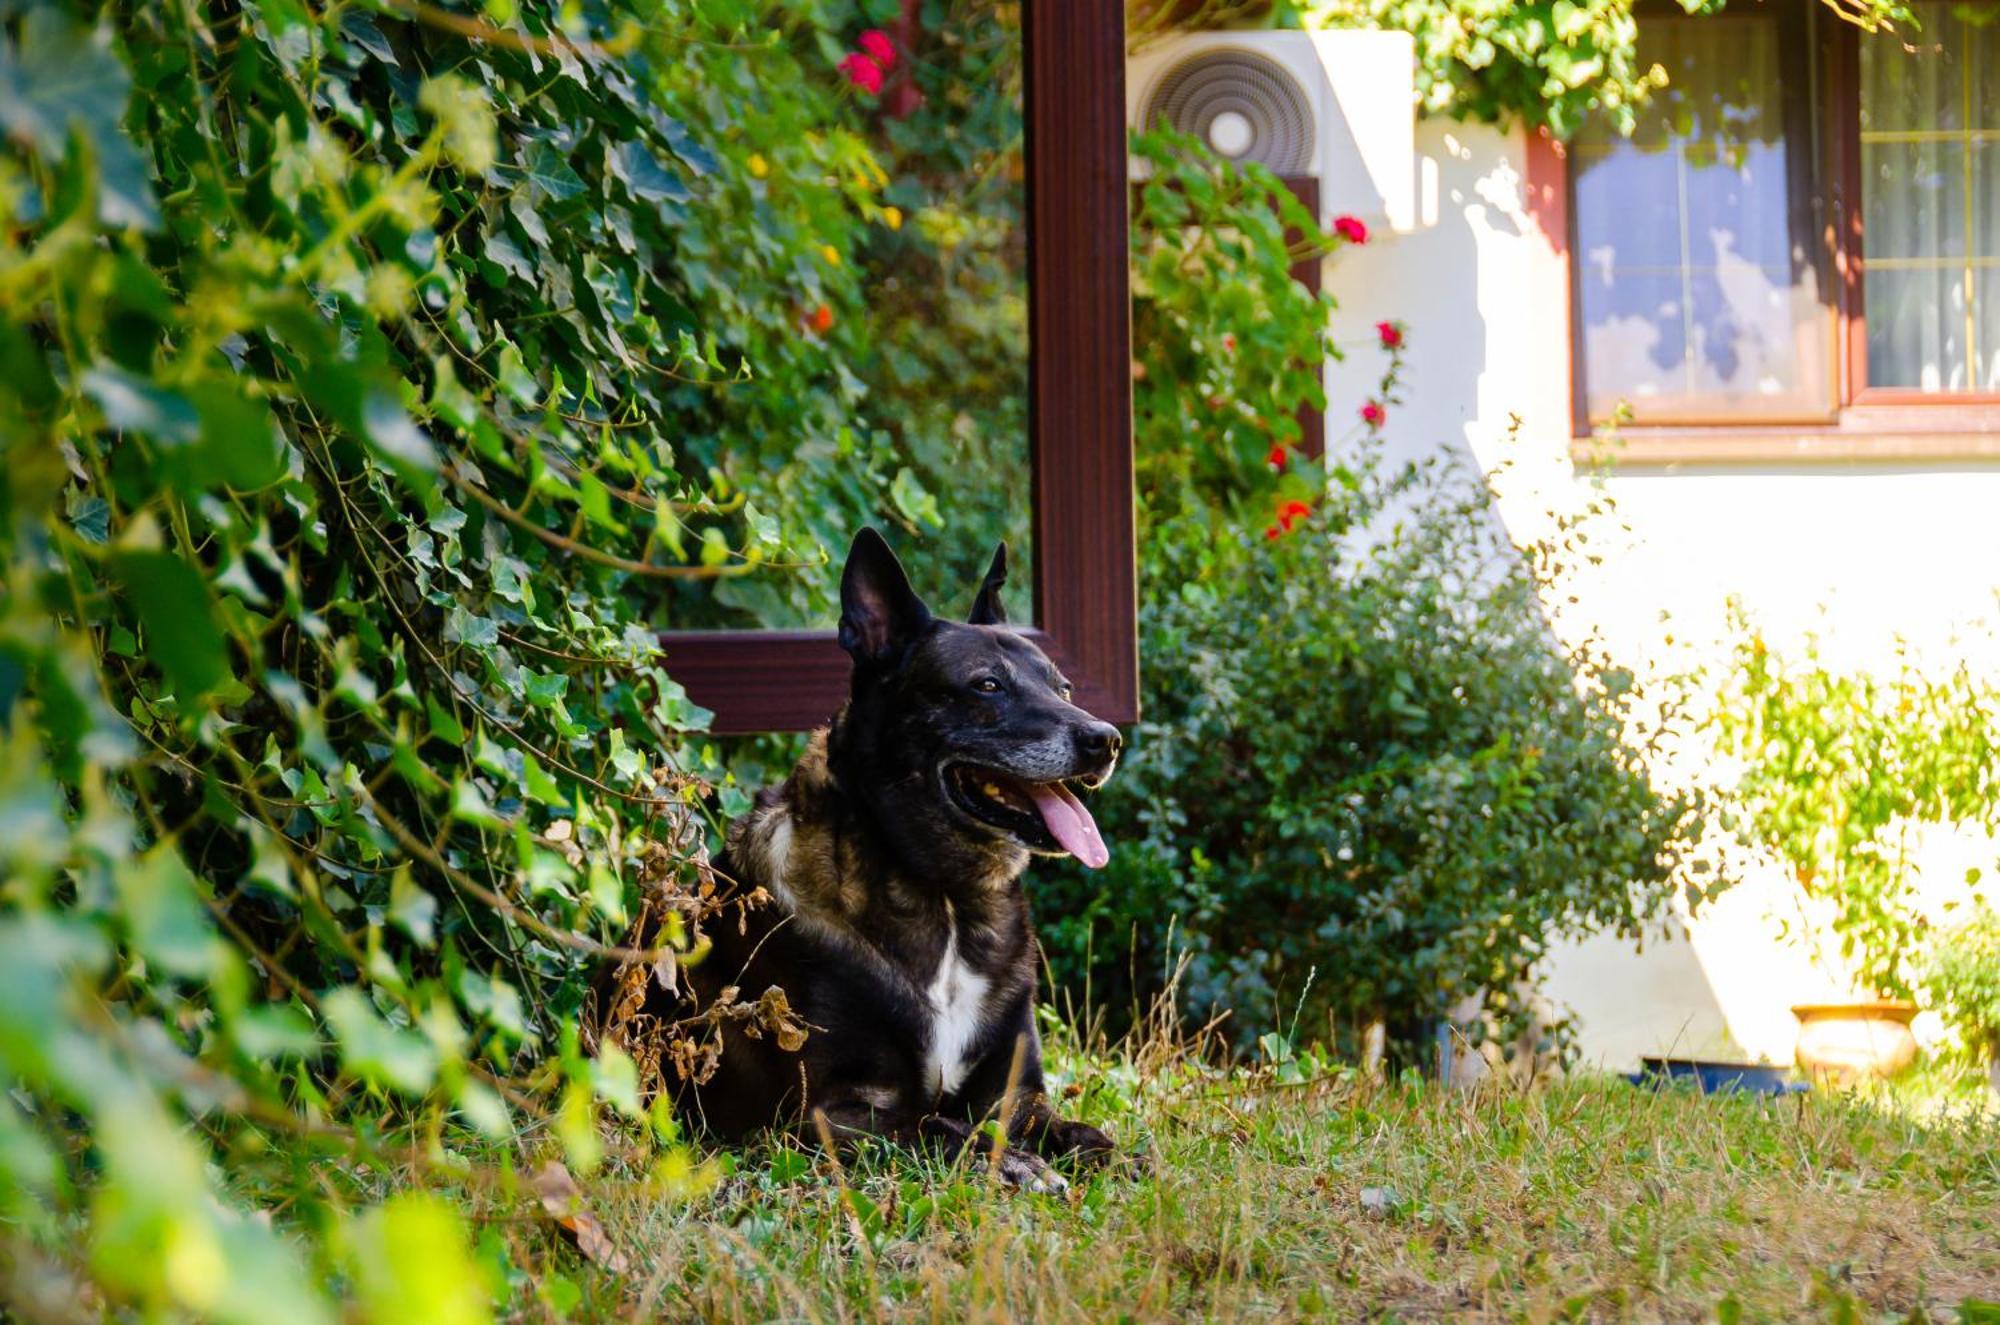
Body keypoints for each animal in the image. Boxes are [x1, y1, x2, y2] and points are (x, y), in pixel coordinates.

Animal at [656, 528, 1128, 1192]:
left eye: (1064, 689)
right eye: (987, 685)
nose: (1105, 740)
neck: (946, 900)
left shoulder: (1018, 1097)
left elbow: (1081, 1134)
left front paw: (1118, 1158)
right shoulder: (827, 1114)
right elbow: (940, 1126)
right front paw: (1014, 1162)